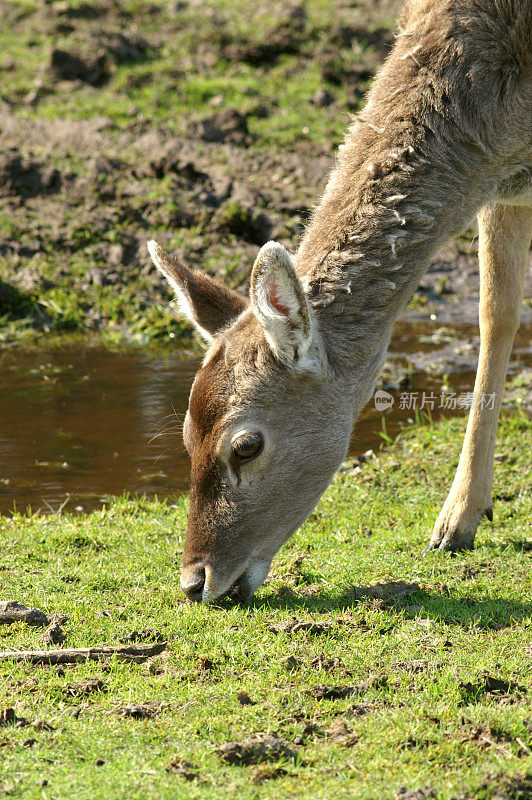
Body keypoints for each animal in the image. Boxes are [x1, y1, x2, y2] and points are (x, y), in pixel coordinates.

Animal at [147, 0, 532, 600]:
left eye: (247, 445)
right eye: (187, 436)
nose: (195, 581)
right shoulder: (506, 187)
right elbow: (497, 309)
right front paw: (458, 520)